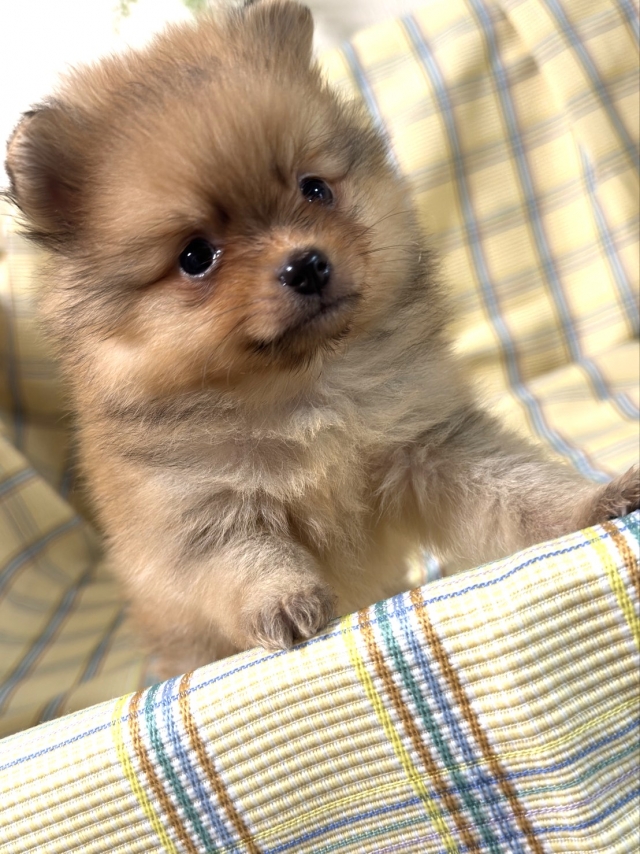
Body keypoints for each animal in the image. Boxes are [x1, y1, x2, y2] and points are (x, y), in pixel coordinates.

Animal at [5, 0, 638, 677]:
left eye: (315, 188)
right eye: (196, 256)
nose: (306, 264)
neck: (302, 389)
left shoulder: (430, 445)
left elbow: (520, 493)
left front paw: (593, 501)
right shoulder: (200, 516)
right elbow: (244, 563)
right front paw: (284, 600)